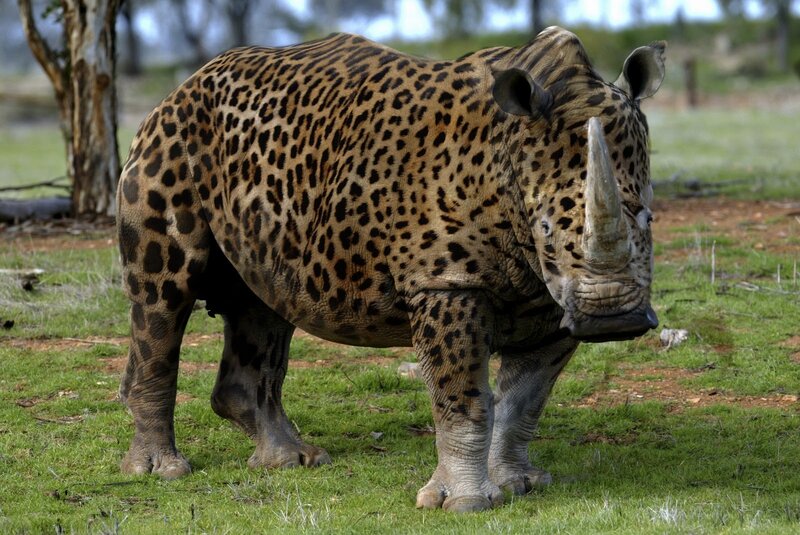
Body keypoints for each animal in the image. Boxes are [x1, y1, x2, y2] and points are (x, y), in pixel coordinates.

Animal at [116, 26, 665, 512]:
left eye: (647, 216)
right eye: (546, 227)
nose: (614, 319)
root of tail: (179, 89)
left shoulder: (555, 299)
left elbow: (523, 401)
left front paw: (520, 483)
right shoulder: (444, 283)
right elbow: (462, 398)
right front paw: (463, 504)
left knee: (263, 304)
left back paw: (294, 461)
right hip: (169, 143)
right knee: (164, 296)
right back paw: (162, 472)